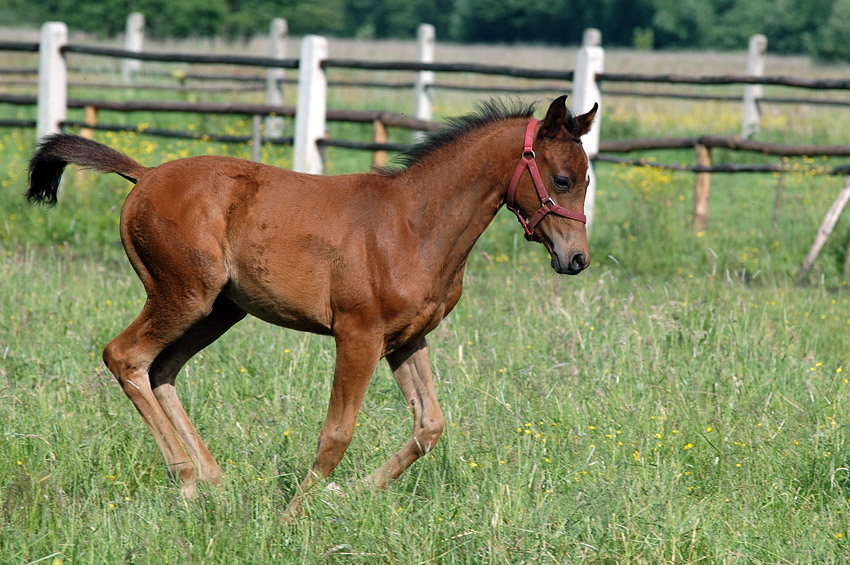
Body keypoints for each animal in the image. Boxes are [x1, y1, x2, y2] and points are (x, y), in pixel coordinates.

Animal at [26, 96, 596, 516]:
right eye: (562, 180)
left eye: (588, 179)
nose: (576, 259)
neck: (415, 224)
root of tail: (144, 175)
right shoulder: (358, 335)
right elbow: (336, 433)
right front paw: (295, 514)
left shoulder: (407, 338)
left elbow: (429, 425)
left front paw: (352, 493)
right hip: (182, 294)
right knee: (125, 357)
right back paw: (187, 480)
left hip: (219, 310)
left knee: (161, 368)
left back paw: (215, 481)